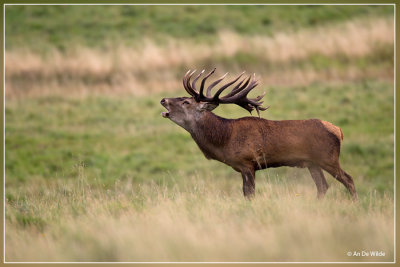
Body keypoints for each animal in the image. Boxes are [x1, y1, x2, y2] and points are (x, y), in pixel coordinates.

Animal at [161, 69, 358, 201]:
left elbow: (249, 194)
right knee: (323, 186)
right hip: (312, 163)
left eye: (186, 102)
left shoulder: (248, 163)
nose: (163, 100)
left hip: (328, 158)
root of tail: (338, 131)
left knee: (348, 179)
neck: (224, 139)